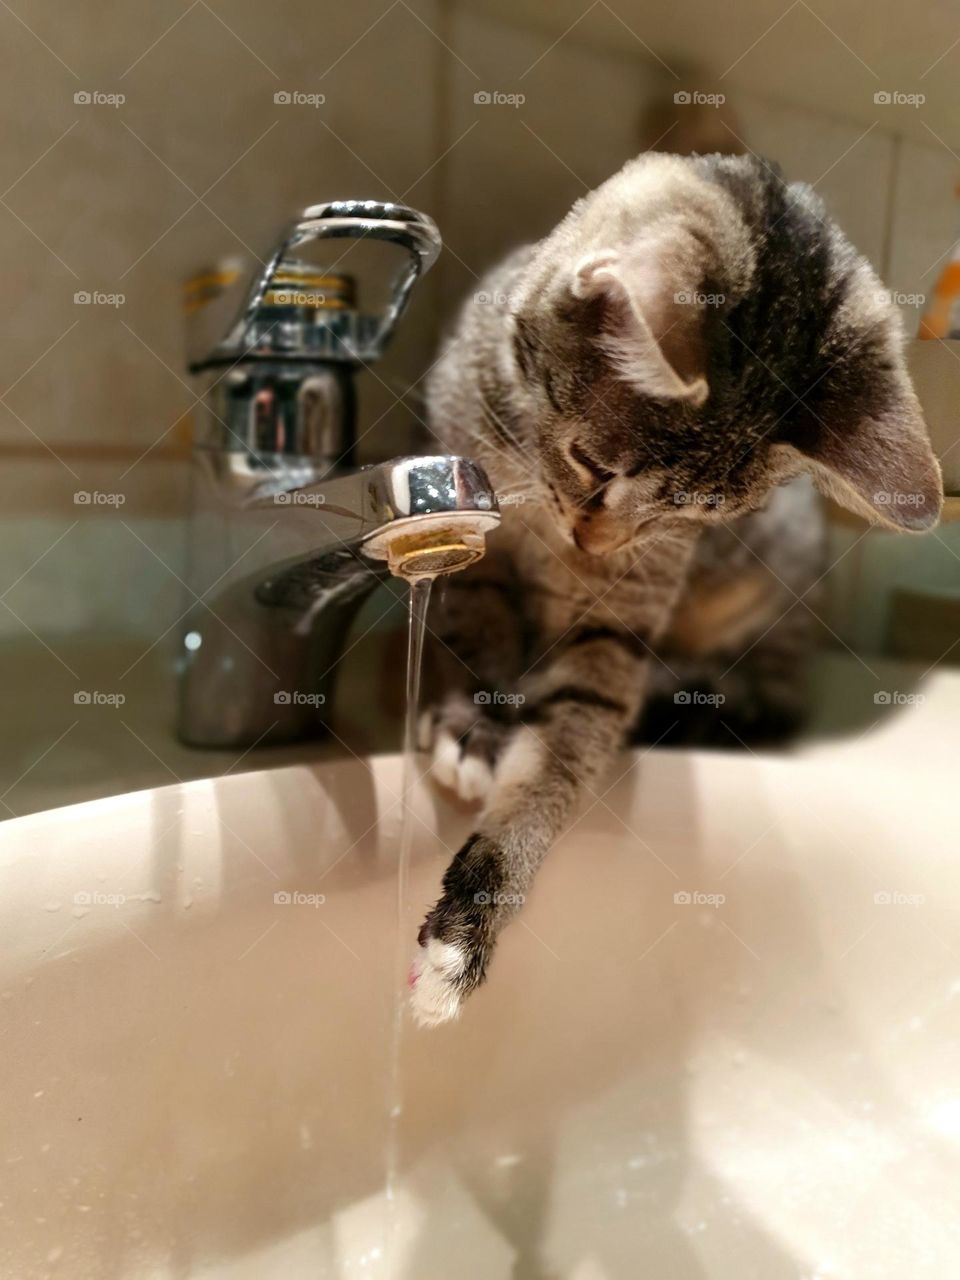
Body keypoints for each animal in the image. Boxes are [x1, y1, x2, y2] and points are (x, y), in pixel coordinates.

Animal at [409, 152, 942, 1029]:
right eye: (592, 465)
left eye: (694, 511)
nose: (596, 544)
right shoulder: (469, 544)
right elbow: (479, 633)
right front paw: (476, 721)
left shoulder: (619, 616)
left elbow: (564, 751)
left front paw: (475, 912)